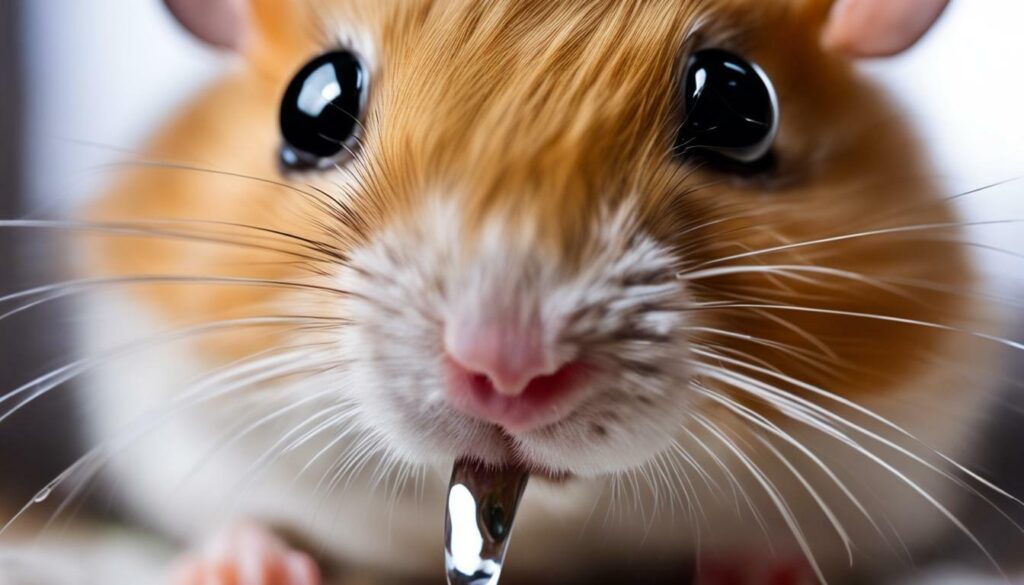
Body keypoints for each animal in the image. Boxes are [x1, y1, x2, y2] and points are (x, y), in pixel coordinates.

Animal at [62, 0, 1020, 583]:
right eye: (312, 105)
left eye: (739, 107)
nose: (506, 372)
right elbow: (245, 516)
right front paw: (244, 561)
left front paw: (763, 569)